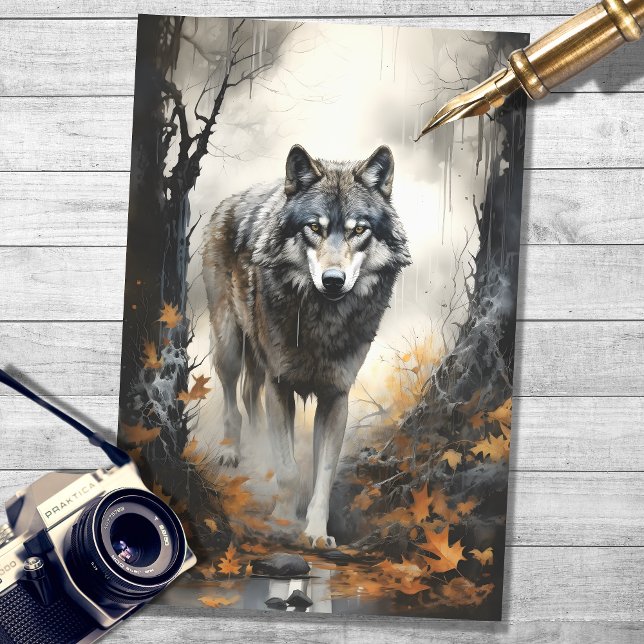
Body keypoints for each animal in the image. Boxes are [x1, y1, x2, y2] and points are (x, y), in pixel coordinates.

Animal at [202, 144, 410, 547]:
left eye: (358, 230)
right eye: (315, 227)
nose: (333, 280)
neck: (322, 324)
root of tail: (232, 201)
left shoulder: (335, 396)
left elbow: (323, 476)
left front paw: (315, 532)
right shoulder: (280, 386)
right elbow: (288, 471)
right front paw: (284, 521)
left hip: (258, 360)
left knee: (250, 395)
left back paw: (256, 449)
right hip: (230, 346)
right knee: (233, 396)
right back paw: (232, 451)